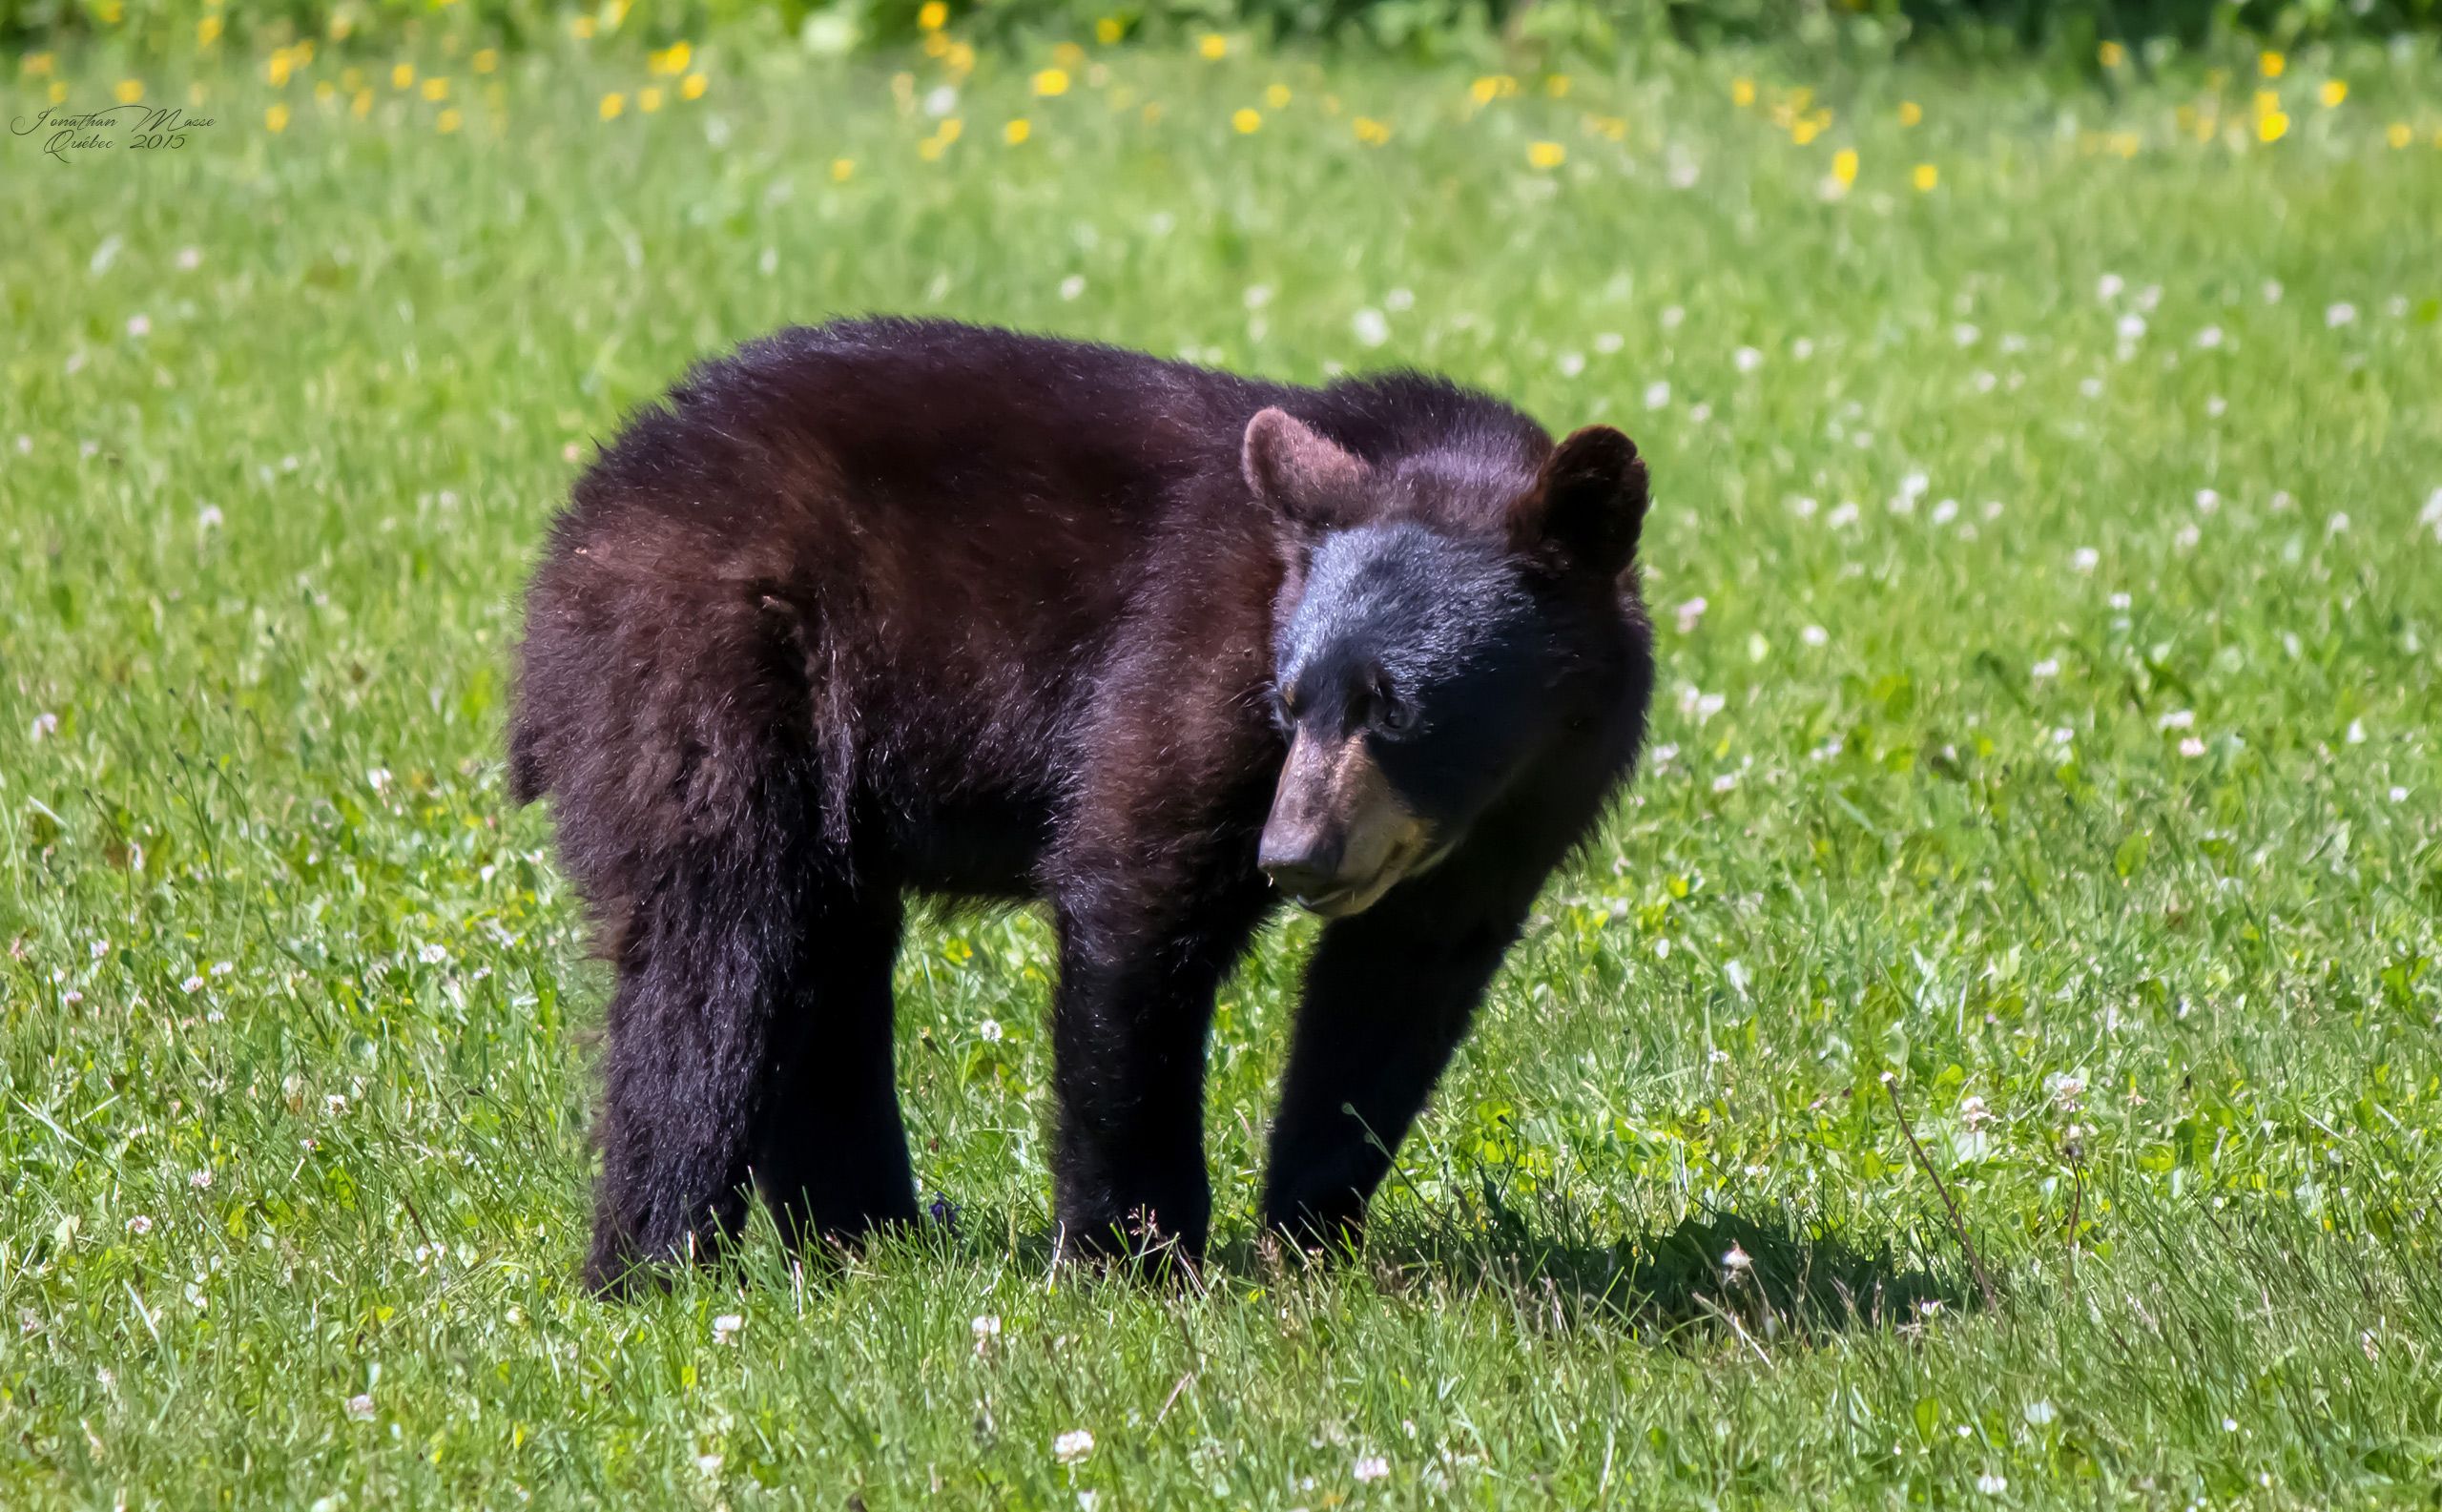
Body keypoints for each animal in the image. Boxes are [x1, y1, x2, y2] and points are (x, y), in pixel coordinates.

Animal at [512, 320, 1660, 1289]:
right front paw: (1131, 1253)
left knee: (827, 953)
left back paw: (869, 1234)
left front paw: (1309, 1238)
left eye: (1399, 705)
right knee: (719, 949)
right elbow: (1136, 892)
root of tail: (581, 515)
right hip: (714, 663)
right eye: (1289, 699)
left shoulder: (1525, 806)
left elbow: (1394, 990)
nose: (1291, 855)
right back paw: (657, 1264)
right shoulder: (1194, 649)